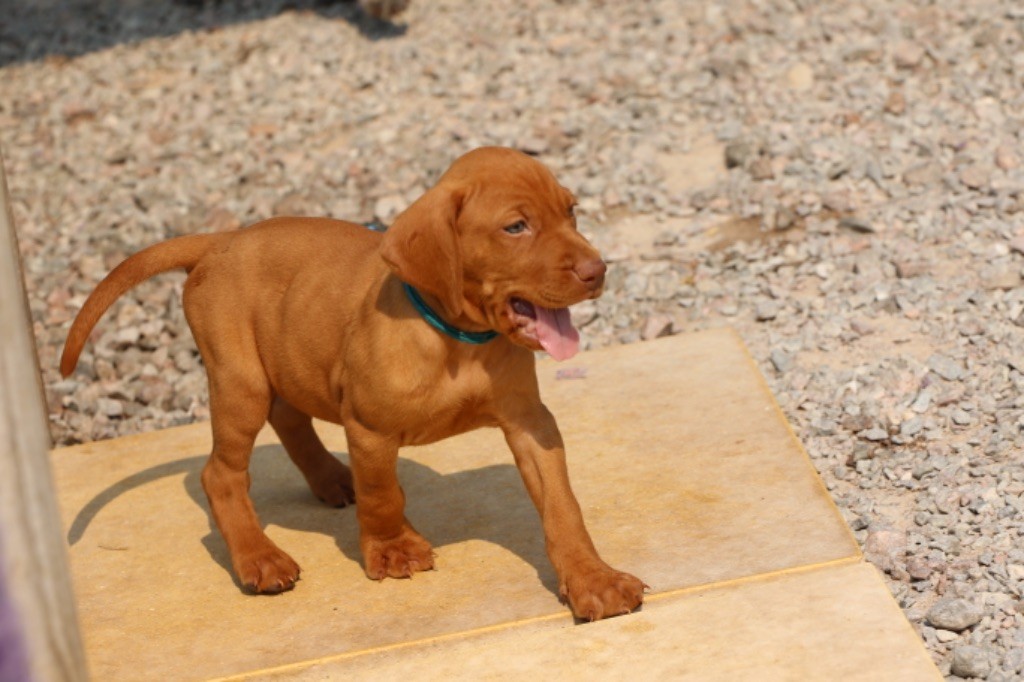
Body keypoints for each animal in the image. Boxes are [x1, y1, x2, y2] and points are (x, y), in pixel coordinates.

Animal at [59, 146, 643, 618]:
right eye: (516, 226)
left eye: (571, 211)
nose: (598, 270)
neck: (457, 338)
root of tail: (223, 240)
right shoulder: (369, 428)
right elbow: (383, 494)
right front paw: (392, 549)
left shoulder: (530, 423)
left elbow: (563, 508)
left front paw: (593, 580)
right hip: (239, 381)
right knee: (221, 474)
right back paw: (259, 557)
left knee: (289, 415)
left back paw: (331, 479)